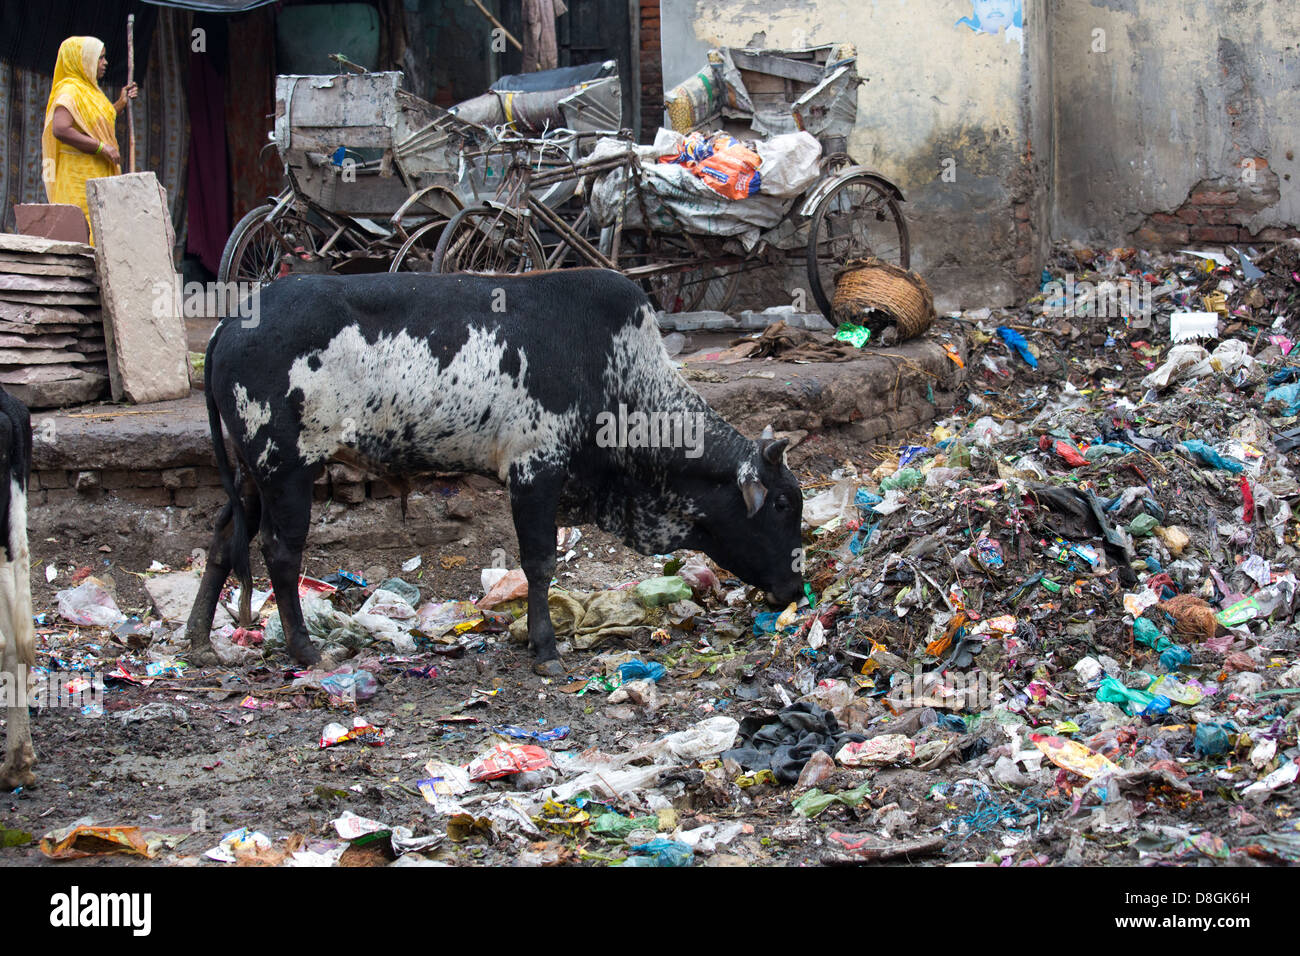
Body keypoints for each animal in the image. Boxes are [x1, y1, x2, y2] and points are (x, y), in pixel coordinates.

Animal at [185, 267, 800, 671]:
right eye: (782, 504)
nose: (795, 588)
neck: (618, 374)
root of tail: (228, 324)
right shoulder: (535, 471)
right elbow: (541, 563)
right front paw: (545, 648)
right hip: (285, 469)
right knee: (280, 553)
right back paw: (305, 649)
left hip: (252, 475)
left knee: (221, 539)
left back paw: (196, 638)